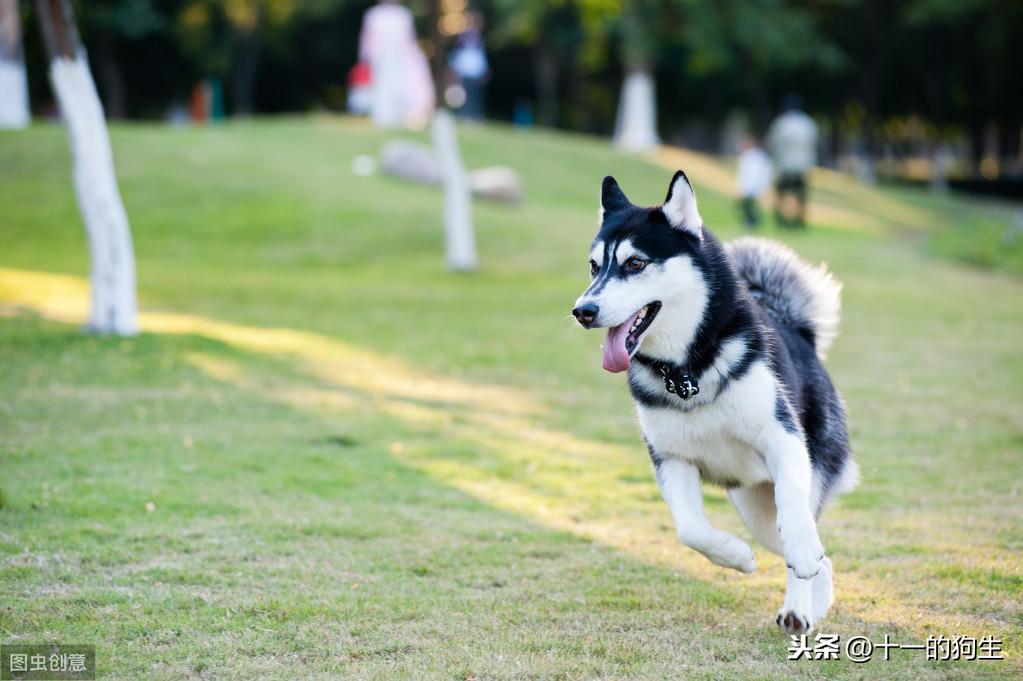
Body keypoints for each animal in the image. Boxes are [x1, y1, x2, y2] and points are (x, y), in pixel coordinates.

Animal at [576, 169, 855, 629]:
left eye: (635, 264)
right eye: (595, 266)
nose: (583, 310)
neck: (688, 370)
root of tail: (799, 332)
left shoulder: (783, 438)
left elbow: (795, 516)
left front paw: (798, 553)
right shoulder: (672, 459)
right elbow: (690, 529)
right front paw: (735, 557)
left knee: (808, 541)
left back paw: (799, 607)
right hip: (754, 509)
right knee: (824, 559)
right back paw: (813, 603)